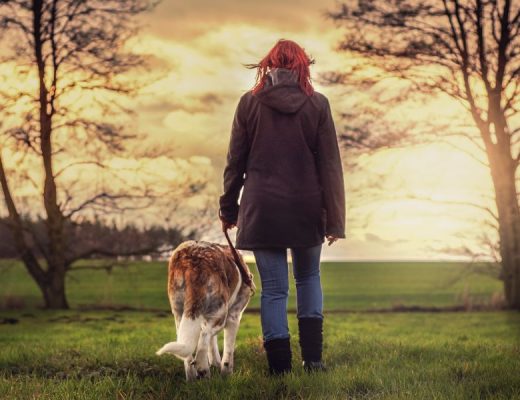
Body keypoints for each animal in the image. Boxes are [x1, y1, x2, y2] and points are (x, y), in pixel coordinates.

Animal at [154, 241, 254, 382]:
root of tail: (190, 261)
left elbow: (212, 344)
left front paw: (215, 363)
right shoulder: (234, 316)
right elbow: (228, 352)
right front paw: (227, 375)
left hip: (179, 314)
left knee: (188, 352)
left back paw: (192, 379)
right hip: (220, 313)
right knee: (203, 337)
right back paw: (203, 369)